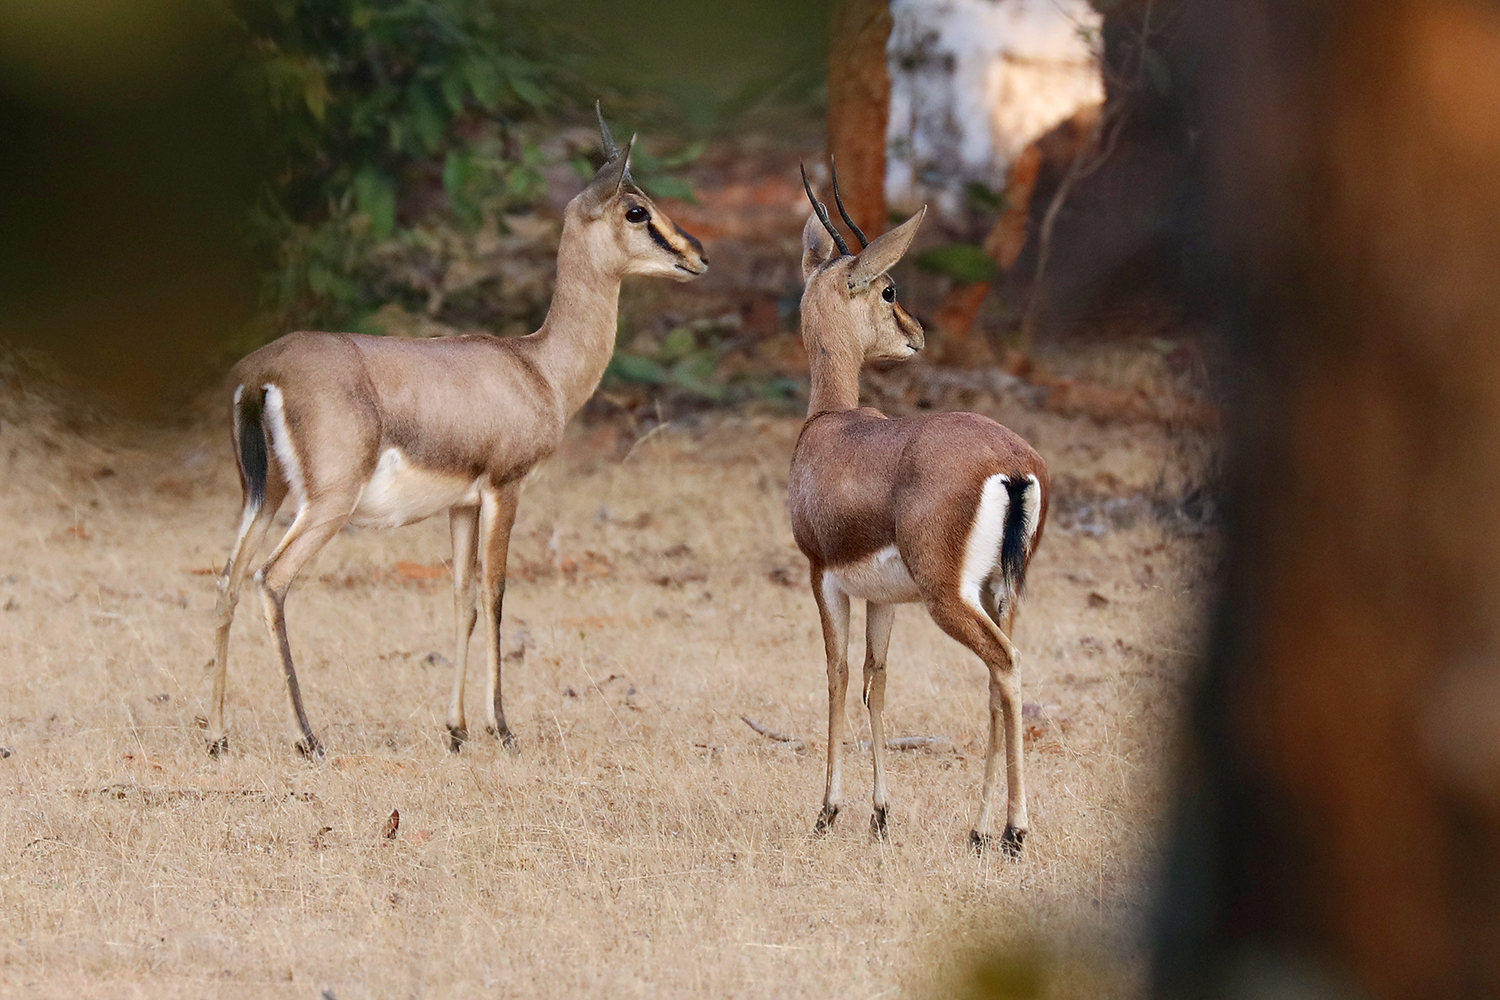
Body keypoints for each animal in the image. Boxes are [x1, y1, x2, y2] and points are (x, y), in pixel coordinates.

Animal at [206, 108, 706, 758]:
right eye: (637, 210)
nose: (697, 254)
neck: (538, 366)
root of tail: (260, 374)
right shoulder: (504, 489)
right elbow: (496, 596)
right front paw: (503, 728)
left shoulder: (462, 505)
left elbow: (462, 598)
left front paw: (458, 729)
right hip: (326, 507)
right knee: (271, 579)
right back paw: (307, 738)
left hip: (263, 497)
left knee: (228, 581)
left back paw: (217, 736)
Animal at [790, 167, 1049, 856]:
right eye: (889, 290)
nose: (917, 335)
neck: (830, 425)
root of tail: (1013, 463)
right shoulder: (883, 598)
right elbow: (876, 681)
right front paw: (880, 814)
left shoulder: (822, 576)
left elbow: (836, 674)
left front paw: (828, 811)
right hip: (1001, 593)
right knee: (996, 682)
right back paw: (980, 830)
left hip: (949, 597)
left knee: (1005, 666)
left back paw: (1013, 831)